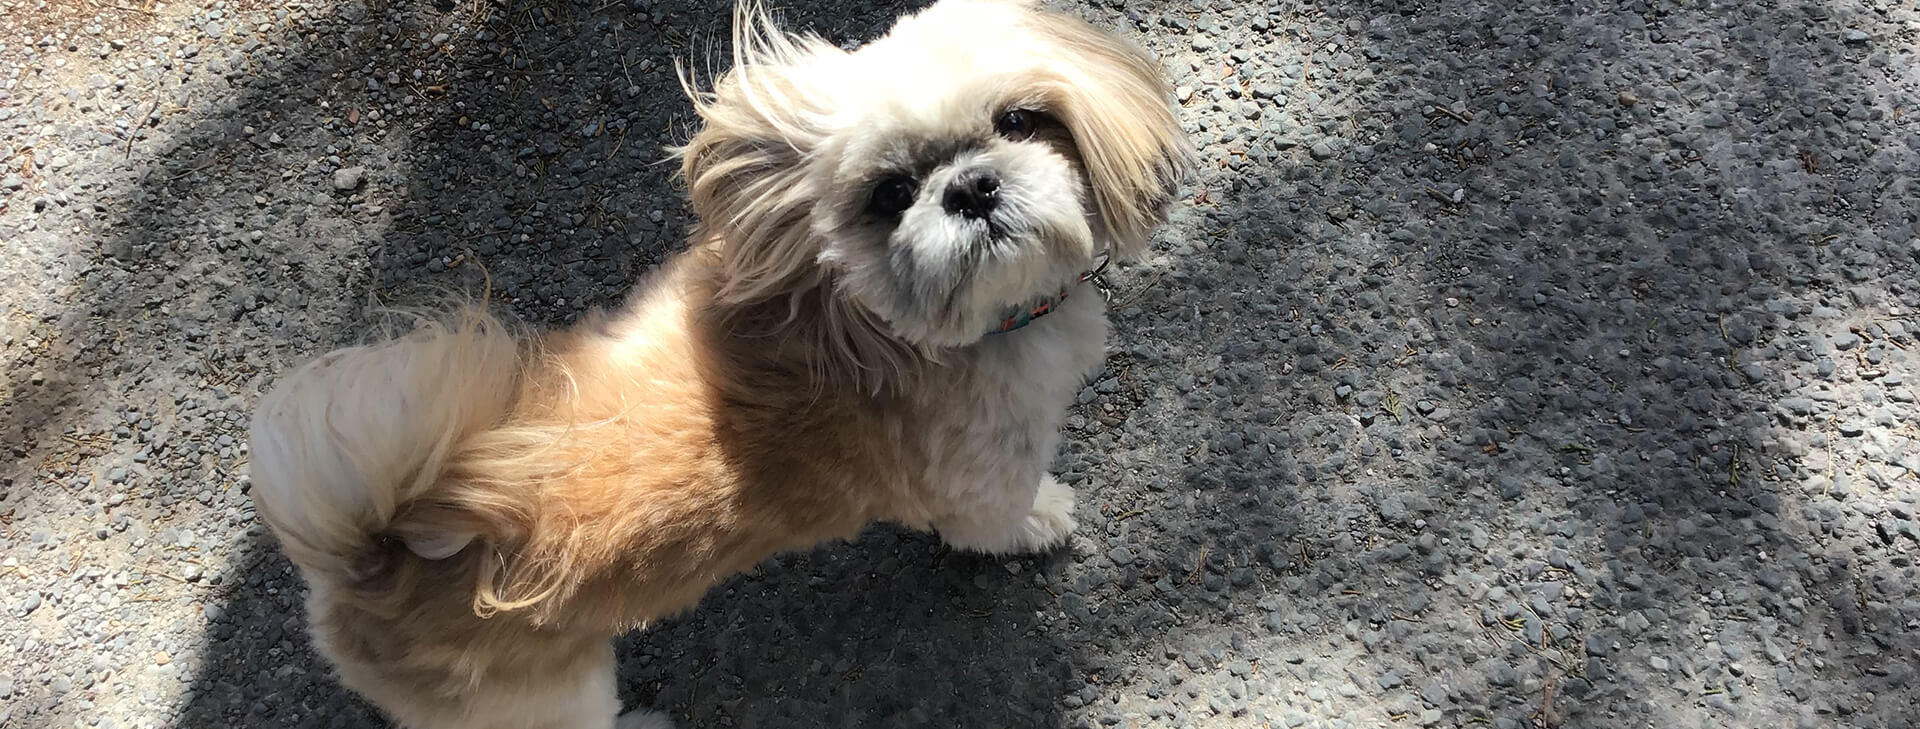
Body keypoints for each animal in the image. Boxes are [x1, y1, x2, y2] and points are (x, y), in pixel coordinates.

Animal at [249, 1, 1190, 729]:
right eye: (889, 196)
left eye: (1019, 122)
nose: (970, 187)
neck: (872, 316)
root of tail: (371, 550)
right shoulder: (978, 482)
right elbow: (999, 521)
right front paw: (1045, 518)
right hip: (545, 694)